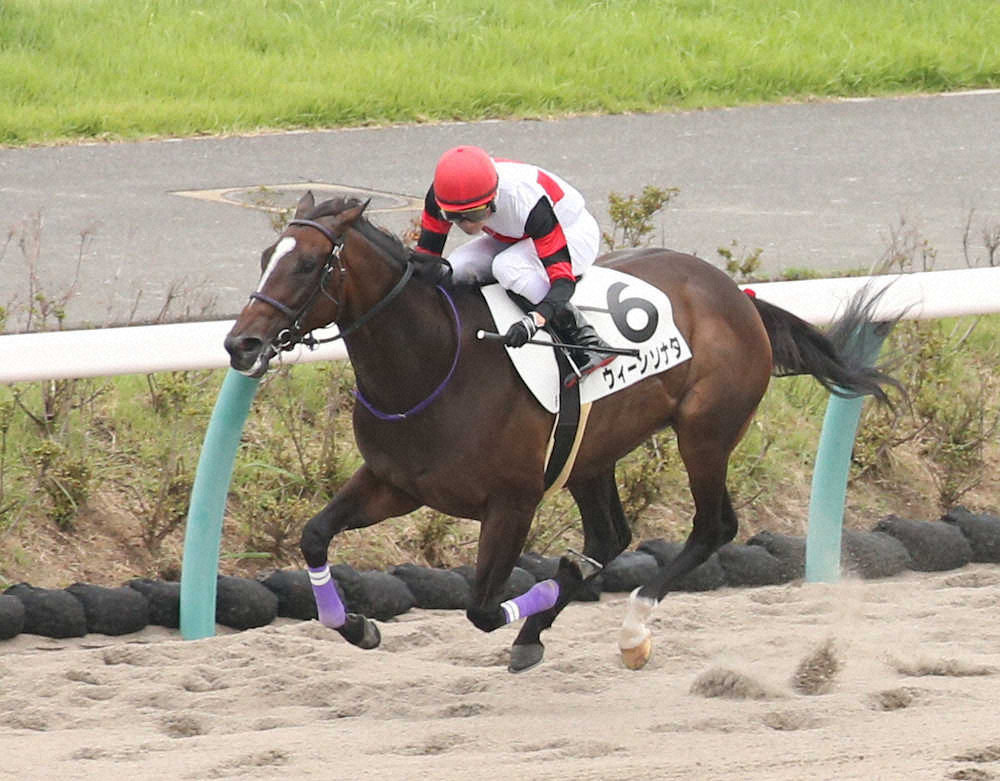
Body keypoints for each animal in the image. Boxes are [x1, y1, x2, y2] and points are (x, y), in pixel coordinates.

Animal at [224, 192, 896, 672]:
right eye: (264, 259)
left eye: (308, 264)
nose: (241, 344)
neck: (435, 363)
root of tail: (738, 295)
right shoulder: (396, 483)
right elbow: (314, 537)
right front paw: (358, 626)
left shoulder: (513, 501)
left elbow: (482, 608)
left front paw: (542, 603)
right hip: (590, 453)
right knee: (610, 534)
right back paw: (549, 620)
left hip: (704, 432)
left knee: (712, 527)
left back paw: (631, 628)